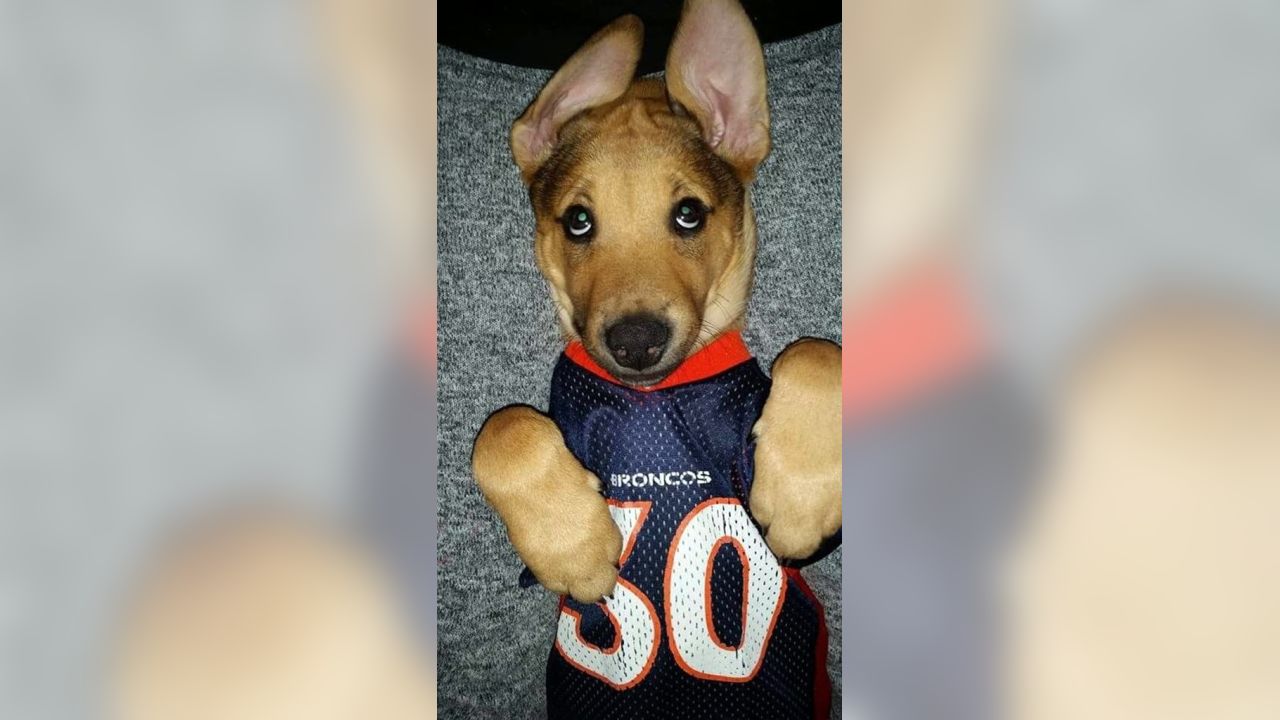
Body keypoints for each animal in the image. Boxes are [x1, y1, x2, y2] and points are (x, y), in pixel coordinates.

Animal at [476, 2, 844, 712]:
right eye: (578, 221)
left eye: (689, 213)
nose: (637, 341)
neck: (654, 396)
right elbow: (505, 431)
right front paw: (575, 545)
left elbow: (818, 358)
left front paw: (798, 499)